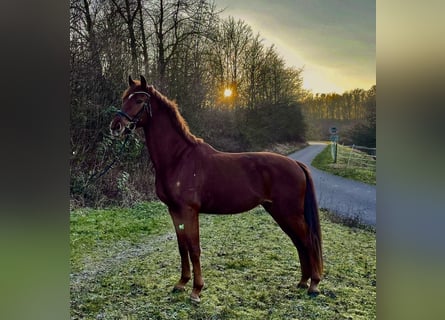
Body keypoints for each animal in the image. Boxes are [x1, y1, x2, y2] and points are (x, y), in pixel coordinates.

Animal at [109, 75, 320, 302]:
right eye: (124, 98)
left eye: (139, 101)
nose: (115, 126)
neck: (179, 159)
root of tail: (296, 164)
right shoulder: (174, 210)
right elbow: (182, 247)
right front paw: (181, 283)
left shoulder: (189, 211)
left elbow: (194, 249)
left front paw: (196, 290)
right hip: (279, 212)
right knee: (299, 242)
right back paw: (303, 282)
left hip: (290, 213)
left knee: (308, 241)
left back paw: (314, 285)